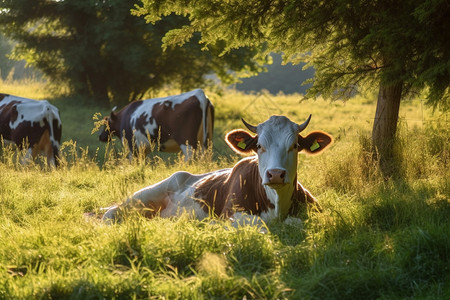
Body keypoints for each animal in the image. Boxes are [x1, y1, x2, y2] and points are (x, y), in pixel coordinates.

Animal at [103, 113, 334, 226]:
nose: (275, 174)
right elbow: (257, 224)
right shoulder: (232, 213)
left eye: (294, 145)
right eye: (259, 146)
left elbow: (296, 222)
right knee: (110, 213)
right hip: (143, 196)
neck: (277, 204)